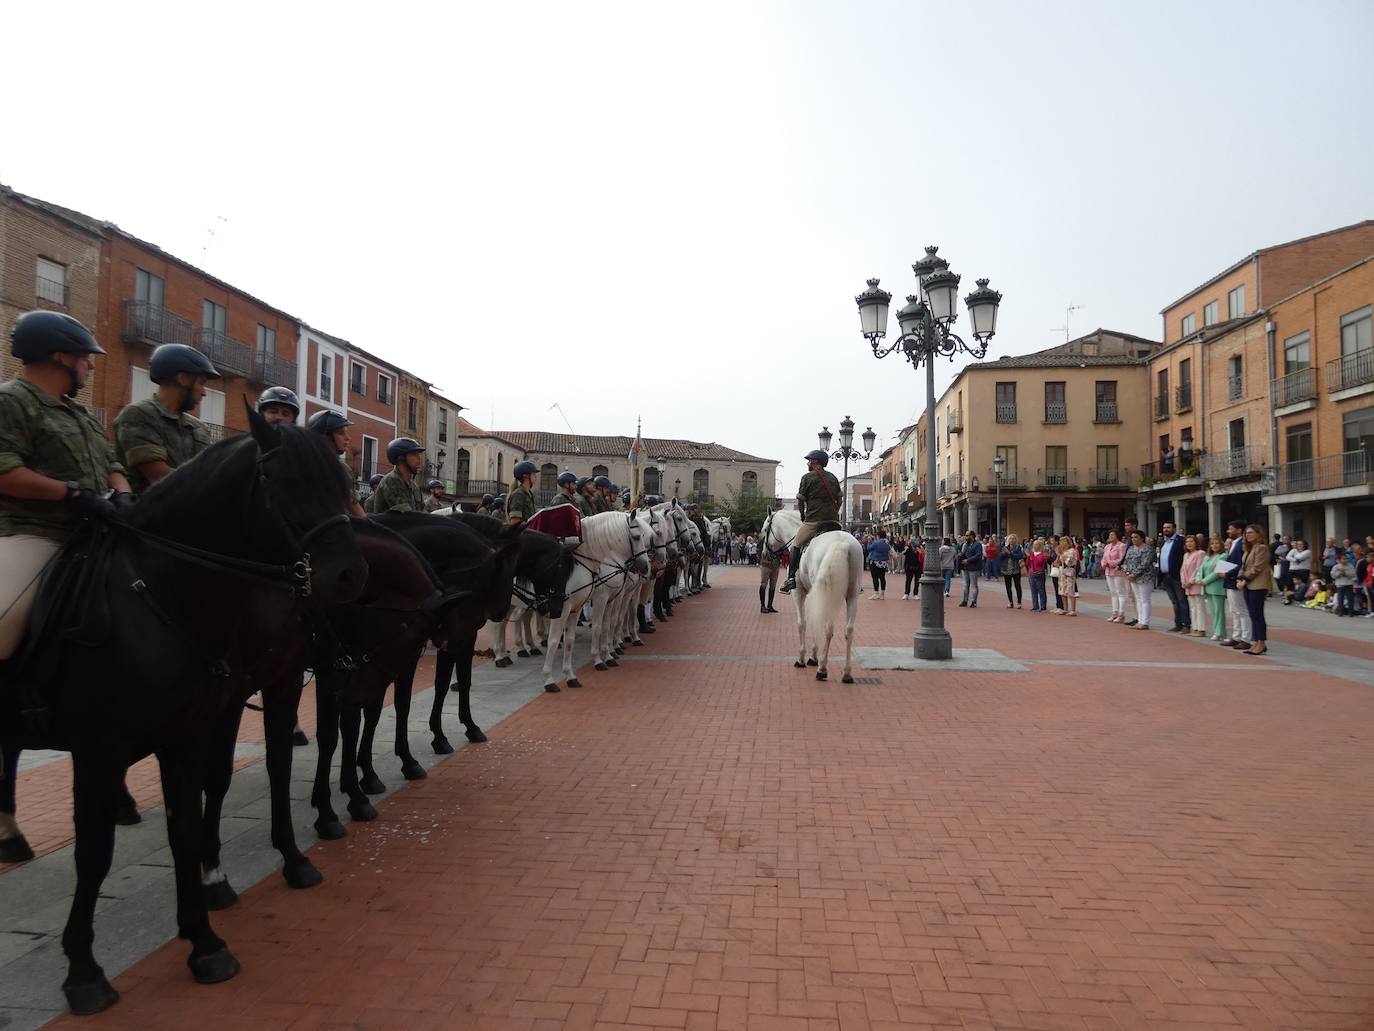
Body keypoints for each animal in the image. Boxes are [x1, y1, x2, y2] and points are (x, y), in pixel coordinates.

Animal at [0, 412, 368, 1017]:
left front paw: (207, 935)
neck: (157, 593)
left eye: (342, 483)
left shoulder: (202, 724)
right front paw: (84, 971)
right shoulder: (102, 746)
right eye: (284, 481)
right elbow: (95, 853)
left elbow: (192, 821)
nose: (349, 577)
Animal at [354, 514, 574, 786]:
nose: (557, 608)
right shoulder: (439, 640)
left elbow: (450, 683)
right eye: (560, 568)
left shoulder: (457, 637)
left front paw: (450, 732)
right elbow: (406, 699)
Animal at [763, 511, 857, 687]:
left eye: (765, 529)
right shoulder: (816, 595)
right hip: (852, 594)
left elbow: (802, 623)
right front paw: (813, 656)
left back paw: (823, 669)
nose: (765, 554)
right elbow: (814, 621)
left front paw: (803, 658)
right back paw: (847, 673)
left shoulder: (799, 593)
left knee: (828, 629)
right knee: (848, 630)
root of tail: (841, 543)